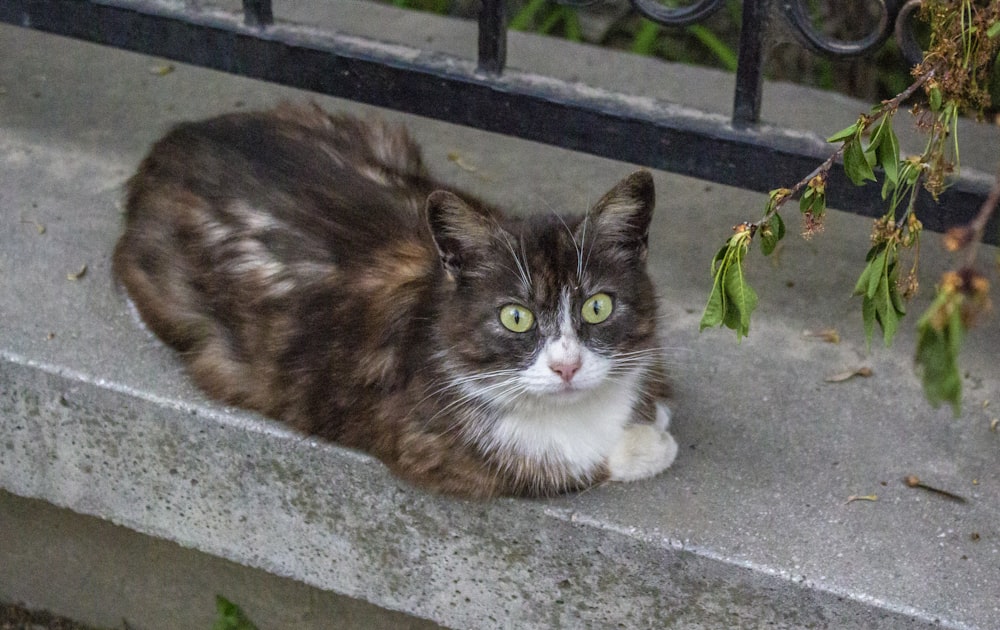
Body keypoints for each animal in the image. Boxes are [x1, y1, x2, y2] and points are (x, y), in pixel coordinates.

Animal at [115, 102, 680, 498]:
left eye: (597, 307)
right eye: (515, 317)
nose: (566, 366)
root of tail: (172, 142)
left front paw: (651, 407)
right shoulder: (428, 447)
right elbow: (562, 468)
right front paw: (649, 442)